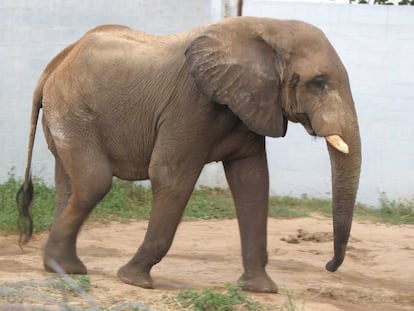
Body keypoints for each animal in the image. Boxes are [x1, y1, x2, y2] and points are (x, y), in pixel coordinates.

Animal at [17, 17, 360, 294]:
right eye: (319, 83)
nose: (329, 266)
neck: (267, 28)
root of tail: (57, 61)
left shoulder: (248, 104)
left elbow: (252, 181)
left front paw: (260, 289)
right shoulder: (190, 104)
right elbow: (171, 176)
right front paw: (134, 280)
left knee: (70, 185)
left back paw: (63, 268)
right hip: (73, 110)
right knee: (93, 183)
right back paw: (64, 267)